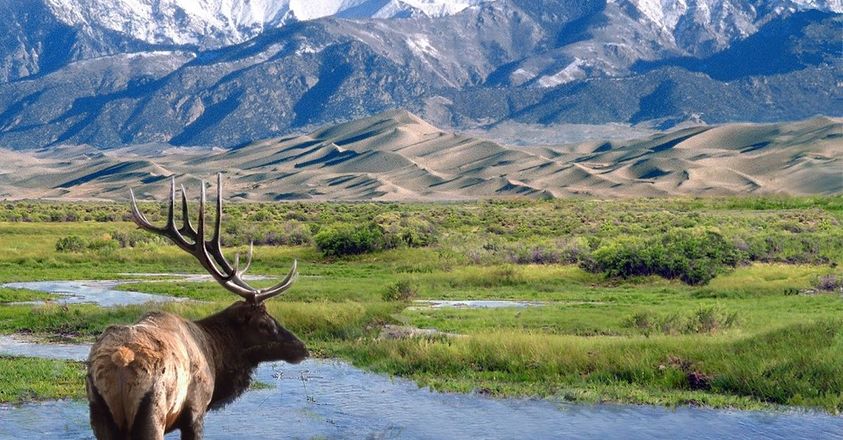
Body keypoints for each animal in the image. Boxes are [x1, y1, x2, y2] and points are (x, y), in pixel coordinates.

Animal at [86, 174, 308, 440]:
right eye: (264, 323)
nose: (303, 348)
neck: (216, 354)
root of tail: (121, 361)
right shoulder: (196, 409)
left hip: (99, 412)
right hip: (152, 413)